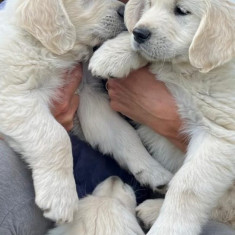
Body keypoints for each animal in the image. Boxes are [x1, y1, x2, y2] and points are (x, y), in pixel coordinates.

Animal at [88, 0, 235, 235]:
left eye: (181, 11)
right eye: (148, 4)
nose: (140, 34)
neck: (190, 71)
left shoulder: (220, 133)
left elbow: (187, 186)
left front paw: (169, 228)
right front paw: (113, 54)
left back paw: (152, 211)